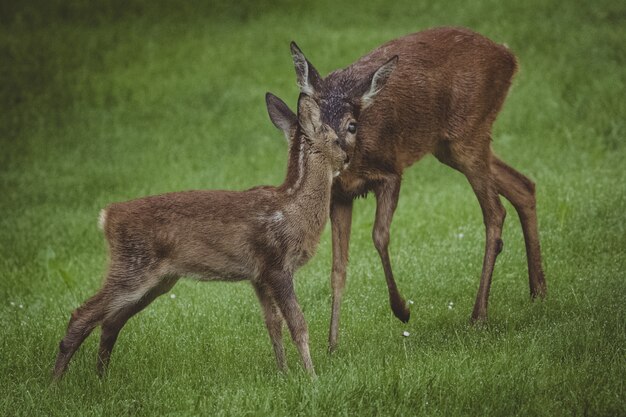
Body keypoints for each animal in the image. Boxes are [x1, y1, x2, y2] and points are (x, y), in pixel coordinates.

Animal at [53, 95, 346, 380]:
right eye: (336, 139)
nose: (346, 158)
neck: (293, 208)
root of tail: (108, 217)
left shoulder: (258, 276)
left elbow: (273, 324)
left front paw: (283, 373)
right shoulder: (276, 264)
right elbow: (298, 324)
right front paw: (312, 378)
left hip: (158, 280)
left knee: (110, 322)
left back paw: (101, 377)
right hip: (132, 265)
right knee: (82, 315)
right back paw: (55, 383)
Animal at [266, 26, 544, 352]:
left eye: (351, 126)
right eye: (312, 125)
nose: (336, 158)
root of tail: (509, 57)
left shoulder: (390, 171)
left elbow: (379, 235)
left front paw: (402, 309)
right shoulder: (340, 197)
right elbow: (338, 268)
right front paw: (333, 344)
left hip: (469, 133)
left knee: (495, 211)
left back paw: (479, 316)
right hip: (448, 146)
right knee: (523, 184)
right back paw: (538, 291)